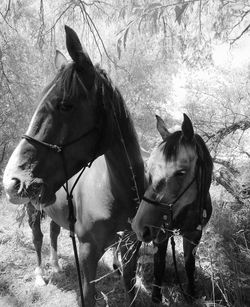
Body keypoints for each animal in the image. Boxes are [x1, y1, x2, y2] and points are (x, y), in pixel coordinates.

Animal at [3, 26, 145, 307]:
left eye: (65, 105)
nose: (12, 180)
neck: (118, 190)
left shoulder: (130, 248)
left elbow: (130, 288)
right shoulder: (88, 251)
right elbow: (88, 296)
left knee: (54, 231)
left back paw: (56, 265)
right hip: (32, 208)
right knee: (38, 238)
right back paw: (41, 275)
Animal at [131, 114, 213, 304]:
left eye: (181, 172)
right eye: (149, 166)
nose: (140, 227)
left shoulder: (194, 235)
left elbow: (190, 266)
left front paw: (191, 294)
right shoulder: (160, 235)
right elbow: (159, 265)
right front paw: (156, 296)